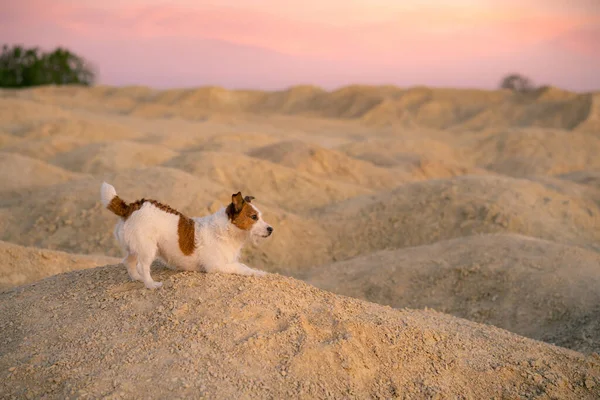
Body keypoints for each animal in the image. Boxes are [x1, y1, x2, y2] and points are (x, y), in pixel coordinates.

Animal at [100, 183, 272, 290]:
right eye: (254, 217)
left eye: (260, 216)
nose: (271, 229)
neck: (226, 229)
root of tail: (130, 207)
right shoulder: (216, 266)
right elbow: (241, 267)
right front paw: (257, 273)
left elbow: (244, 266)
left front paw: (258, 272)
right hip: (148, 248)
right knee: (143, 266)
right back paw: (150, 284)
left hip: (135, 247)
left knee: (128, 261)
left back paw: (137, 278)